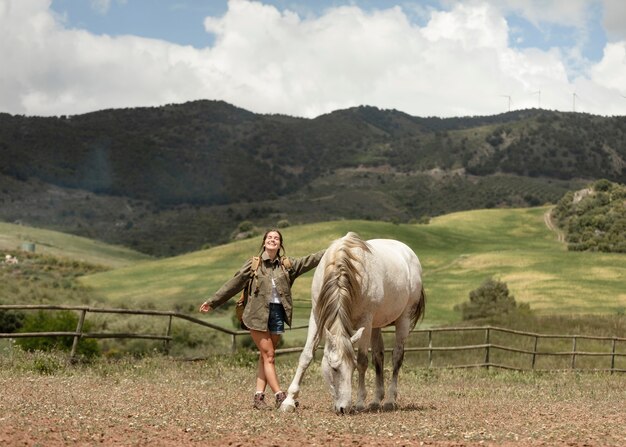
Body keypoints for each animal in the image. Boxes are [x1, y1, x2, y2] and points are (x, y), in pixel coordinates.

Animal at [282, 233, 424, 414]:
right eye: (334, 368)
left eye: (352, 368)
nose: (343, 408)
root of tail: (409, 253)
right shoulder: (316, 316)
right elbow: (306, 356)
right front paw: (289, 400)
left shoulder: (366, 321)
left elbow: (363, 360)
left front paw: (360, 402)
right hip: (376, 325)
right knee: (379, 356)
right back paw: (376, 401)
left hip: (402, 319)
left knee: (397, 356)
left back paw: (390, 400)